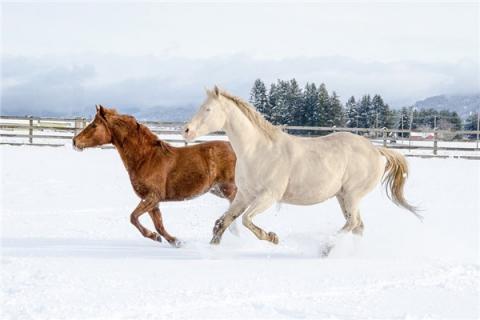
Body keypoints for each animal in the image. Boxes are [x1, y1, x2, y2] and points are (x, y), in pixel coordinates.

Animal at [73, 105, 236, 248]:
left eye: (94, 125)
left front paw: (155, 236)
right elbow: (159, 226)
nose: (75, 141)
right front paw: (175, 241)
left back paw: (218, 229)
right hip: (217, 190)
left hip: (228, 188)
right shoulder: (153, 201)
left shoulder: (152, 196)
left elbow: (133, 217)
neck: (146, 158)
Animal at [184, 86, 420, 244]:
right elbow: (223, 222)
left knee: (353, 224)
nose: (186, 130)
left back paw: (326, 248)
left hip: (352, 195)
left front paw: (272, 237)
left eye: (208, 109)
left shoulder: (269, 196)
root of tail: (376, 150)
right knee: (357, 226)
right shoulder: (244, 195)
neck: (258, 150)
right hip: (343, 196)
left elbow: (246, 220)